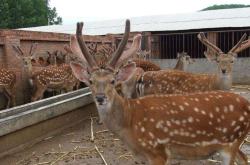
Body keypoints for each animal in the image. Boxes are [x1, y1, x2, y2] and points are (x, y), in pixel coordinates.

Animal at [69, 19, 250, 165]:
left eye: (113, 81)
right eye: (90, 81)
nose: (100, 98)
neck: (130, 122)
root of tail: (247, 104)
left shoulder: (157, 151)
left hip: (231, 142)